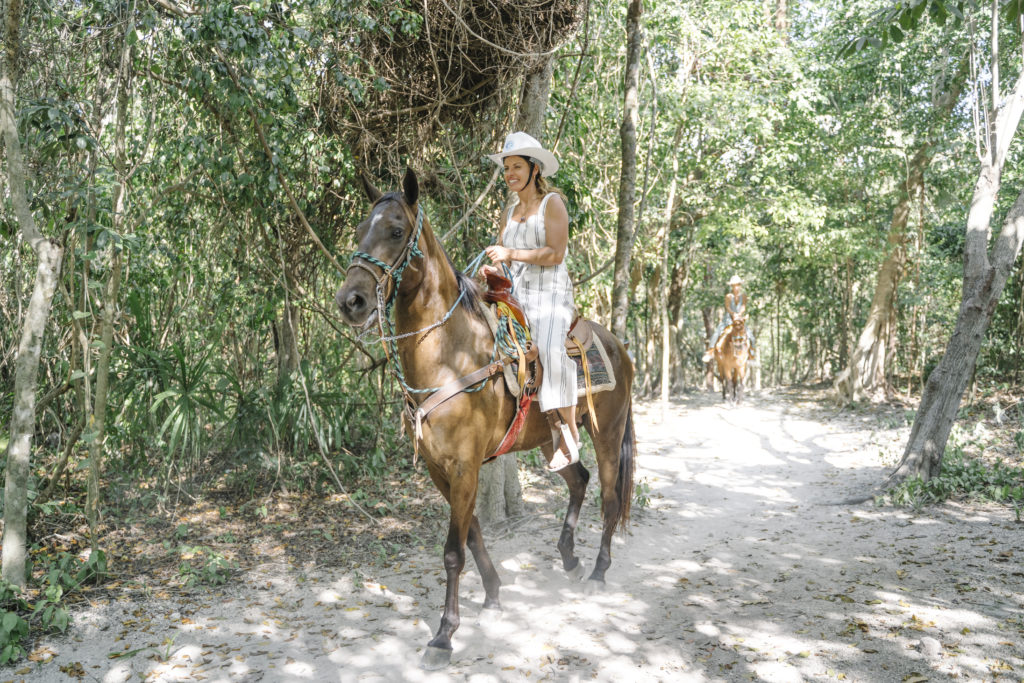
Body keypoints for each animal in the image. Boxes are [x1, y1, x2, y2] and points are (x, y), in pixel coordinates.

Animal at [331, 167, 634, 671]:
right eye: (358, 232)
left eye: (395, 231)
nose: (350, 301)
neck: (448, 356)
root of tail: (617, 345)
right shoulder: (441, 469)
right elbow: (471, 534)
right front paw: (493, 594)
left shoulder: (465, 465)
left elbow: (453, 551)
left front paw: (444, 635)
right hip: (553, 440)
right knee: (579, 480)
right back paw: (569, 559)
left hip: (607, 432)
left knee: (609, 497)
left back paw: (598, 570)